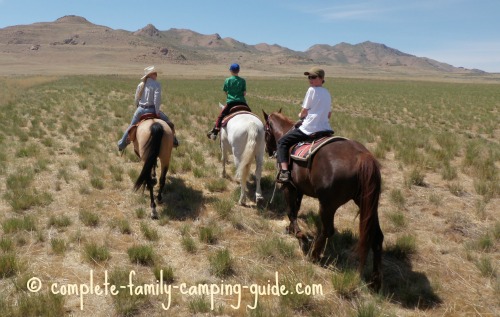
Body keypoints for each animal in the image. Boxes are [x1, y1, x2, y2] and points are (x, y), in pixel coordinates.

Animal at [264, 108, 384, 288]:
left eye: (265, 131)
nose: (268, 150)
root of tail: (363, 156)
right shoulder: (299, 189)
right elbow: (295, 209)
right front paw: (292, 230)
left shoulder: (289, 187)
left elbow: (290, 211)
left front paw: (300, 234)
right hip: (367, 204)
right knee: (377, 237)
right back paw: (375, 281)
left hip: (328, 205)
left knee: (327, 230)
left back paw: (314, 255)